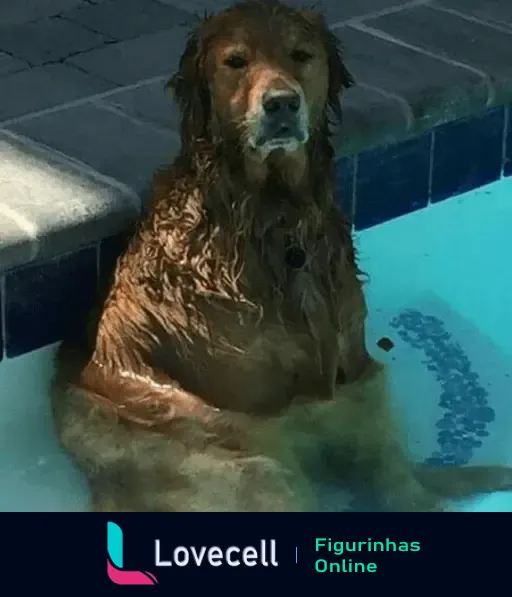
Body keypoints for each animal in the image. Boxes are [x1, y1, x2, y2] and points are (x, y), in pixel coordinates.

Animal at [51, 1, 512, 512]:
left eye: (301, 55)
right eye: (236, 61)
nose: (281, 104)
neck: (276, 216)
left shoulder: (354, 377)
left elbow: (394, 471)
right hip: (242, 458)